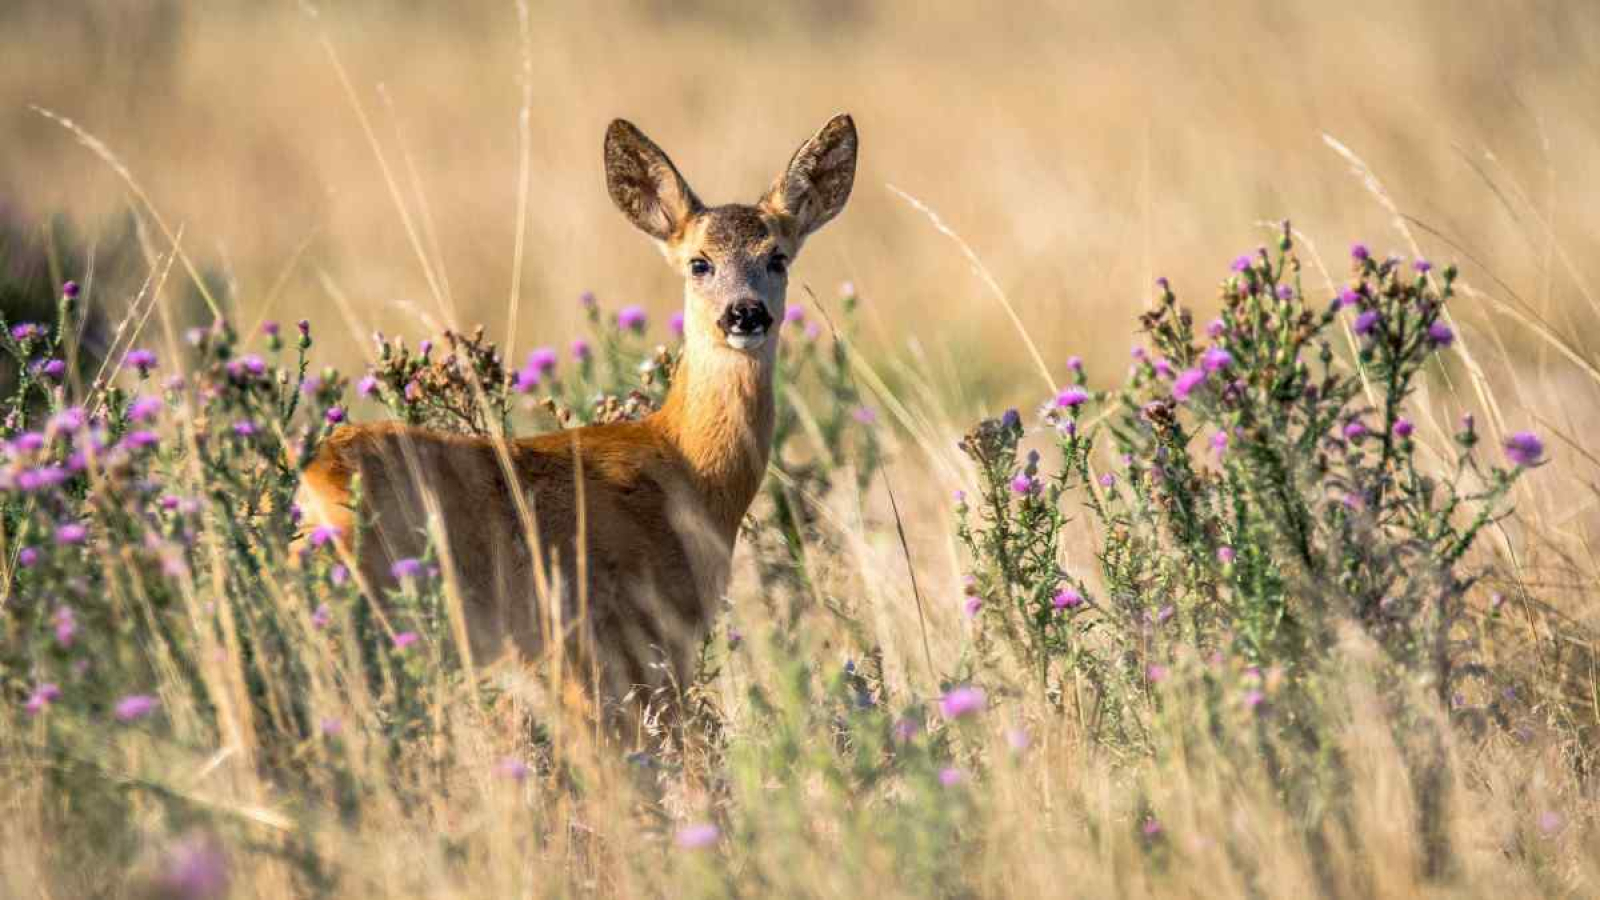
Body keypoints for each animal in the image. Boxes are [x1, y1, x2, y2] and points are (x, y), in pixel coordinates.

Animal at [294, 112, 857, 714]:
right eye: (699, 263)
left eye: (777, 257)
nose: (745, 313)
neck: (687, 467)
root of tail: (309, 487)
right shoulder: (620, 641)